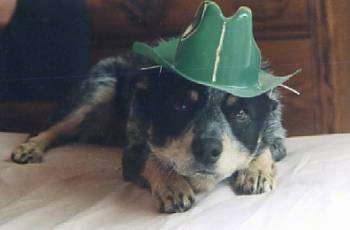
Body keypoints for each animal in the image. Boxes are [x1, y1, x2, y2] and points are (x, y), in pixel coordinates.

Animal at [10, 51, 288, 212]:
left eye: (240, 113)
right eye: (180, 105)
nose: (207, 149)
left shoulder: (278, 138)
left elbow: (264, 148)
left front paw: (256, 171)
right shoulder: (132, 152)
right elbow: (154, 160)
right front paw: (173, 185)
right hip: (98, 91)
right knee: (54, 128)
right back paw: (30, 147)